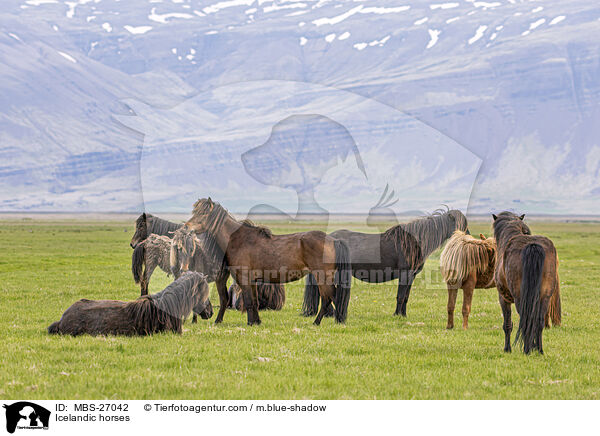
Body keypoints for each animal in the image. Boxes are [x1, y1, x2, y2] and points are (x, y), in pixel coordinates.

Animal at [184, 197, 352, 324]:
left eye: (203, 214)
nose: (186, 227)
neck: (238, 240)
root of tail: (334, 240)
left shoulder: (244, 279)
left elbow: (249, 301)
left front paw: (250, 323)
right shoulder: (252, 281)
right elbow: (254, 302)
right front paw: (256, 322)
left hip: (322, 277)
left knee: (328, 298)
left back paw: (317, 322)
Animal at [304, 206, 468, 318]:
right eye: (460, 226)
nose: (467, 240)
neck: (414, 242)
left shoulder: (411, 276)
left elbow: (406, 297)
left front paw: (403, 315)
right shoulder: (405, 275)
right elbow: (400, 296)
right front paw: (397, 315)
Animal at [492, 212, 564, 354]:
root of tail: (533, 245)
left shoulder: (503, 298)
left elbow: (507, 324)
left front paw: (507, 349)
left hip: (520, 298)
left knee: (526, 319)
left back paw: (527, 349)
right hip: (545, 297)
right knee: (539, 321)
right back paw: (539, 349)